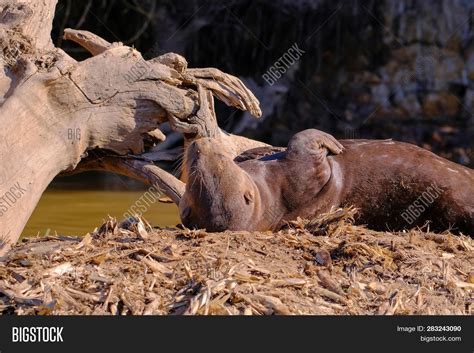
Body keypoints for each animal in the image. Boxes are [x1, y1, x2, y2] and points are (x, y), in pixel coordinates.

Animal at [179, 128, 474, 235]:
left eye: (219, 160)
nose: (199, 144)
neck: (267, 185)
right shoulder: (299, 181)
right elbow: (301, 144)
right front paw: (330, 142)